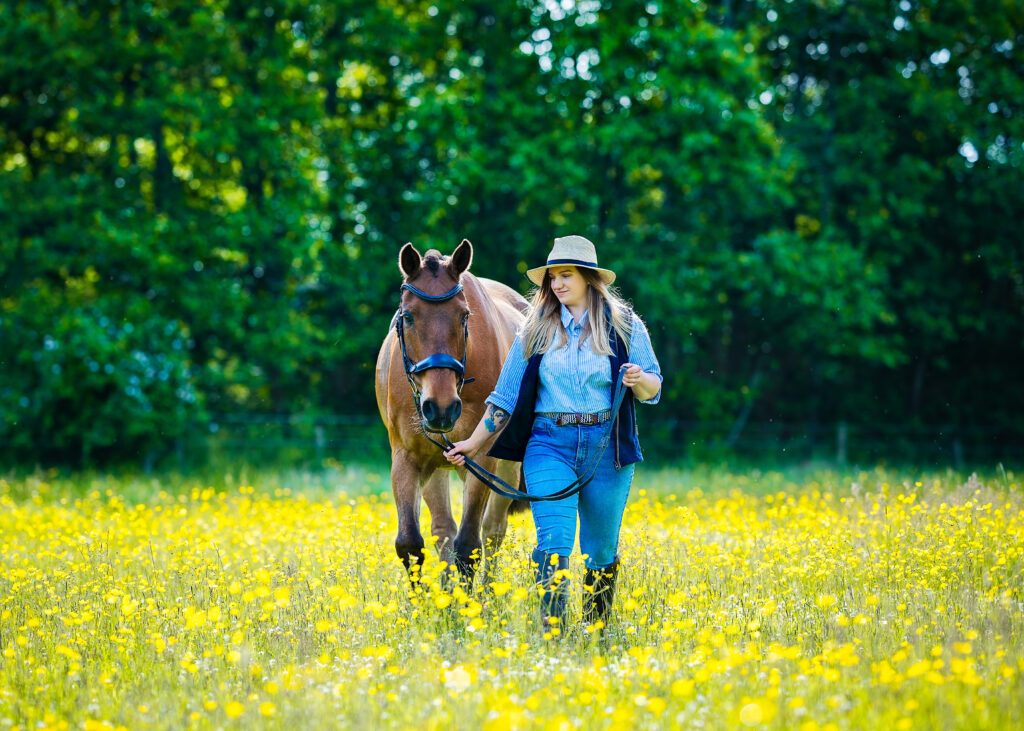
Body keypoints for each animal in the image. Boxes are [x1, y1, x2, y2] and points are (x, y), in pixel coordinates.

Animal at [375, 239, 528, 582]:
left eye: (464, 316)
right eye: (407, 316)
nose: (441, 408)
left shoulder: (480, 458)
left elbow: (469, 545)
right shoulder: (406, 457)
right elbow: (410, 543)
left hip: (506, 468)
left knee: (493, 531)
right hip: (436, 466)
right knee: (443, 529)